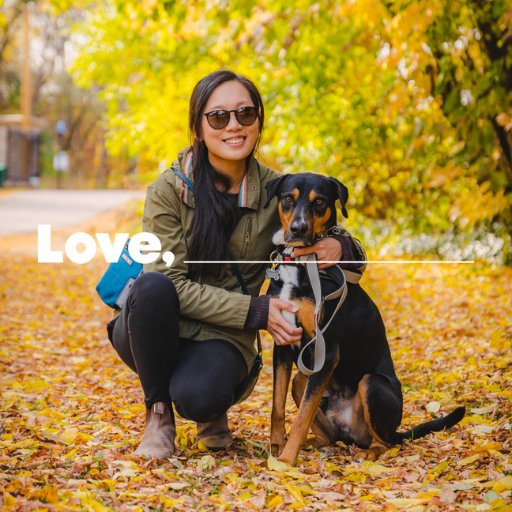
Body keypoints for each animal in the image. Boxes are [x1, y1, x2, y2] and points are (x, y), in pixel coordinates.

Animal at [262, 174, 466, 466]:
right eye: (288, 198)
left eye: (319, 201)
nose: (298, 229)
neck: (302, 262)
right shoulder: (283, 343)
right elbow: (277, 407)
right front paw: (277, 447)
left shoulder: (327, 350)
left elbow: (300, 418)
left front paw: (287, 462)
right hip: (302, 379)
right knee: (331, 435)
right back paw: (315, 443)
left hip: (370, 384)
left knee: (384, 442)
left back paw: (367, 452)